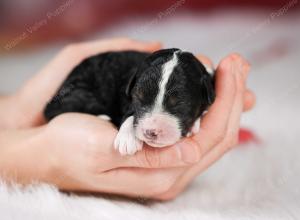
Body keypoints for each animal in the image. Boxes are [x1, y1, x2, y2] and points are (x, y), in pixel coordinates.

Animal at [44, 48, 216, 155]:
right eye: (138, 97)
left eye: (180, 103)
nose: (150, 132)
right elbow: (129, 114)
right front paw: (127, 140)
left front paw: (195, 123)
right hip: (78, 91)